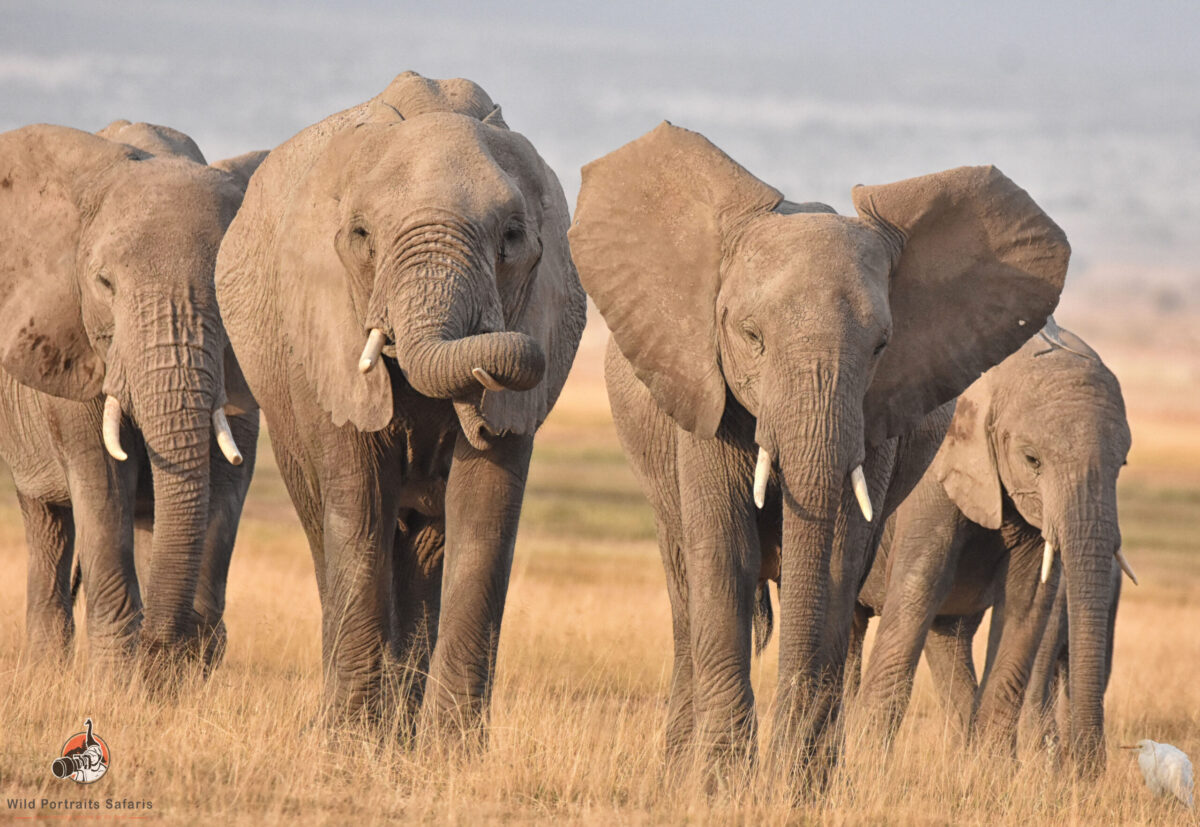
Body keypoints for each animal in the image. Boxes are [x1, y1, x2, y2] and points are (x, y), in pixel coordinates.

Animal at [0, 117, 261, 672]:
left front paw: (180, 671)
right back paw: (47, 670)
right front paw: (119, 678)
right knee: (47, 524)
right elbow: (100, 483)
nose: (157, 650)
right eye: (104, 283)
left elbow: (228, 481)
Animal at [216, 72, 590, 734]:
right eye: (362, 236)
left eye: (512, 237)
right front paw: (347, 740)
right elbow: (359, 505)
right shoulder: (328, 327)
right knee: (326, 523)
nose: (494, 361)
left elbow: (485, 517)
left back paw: (404, 728)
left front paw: (450, 748)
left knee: (425, 547)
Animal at [566, 122, 1075, 782]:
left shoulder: (878, 419)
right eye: (750, 336)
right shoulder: (705, 397)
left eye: (882, 345)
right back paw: (679, 767)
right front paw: (724, 781)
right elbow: (725, 552)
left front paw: (800, 780)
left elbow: (836, 555)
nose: (779, 768)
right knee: (685, 592)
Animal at [854, 319, 1132, 772]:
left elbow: (1027, 600)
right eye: (1032, 459)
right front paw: (869, 767)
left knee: (949, 637)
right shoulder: (934, 475)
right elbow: (918, 587)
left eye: (1121, 463)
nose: (1085, 770)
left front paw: (995, 772)